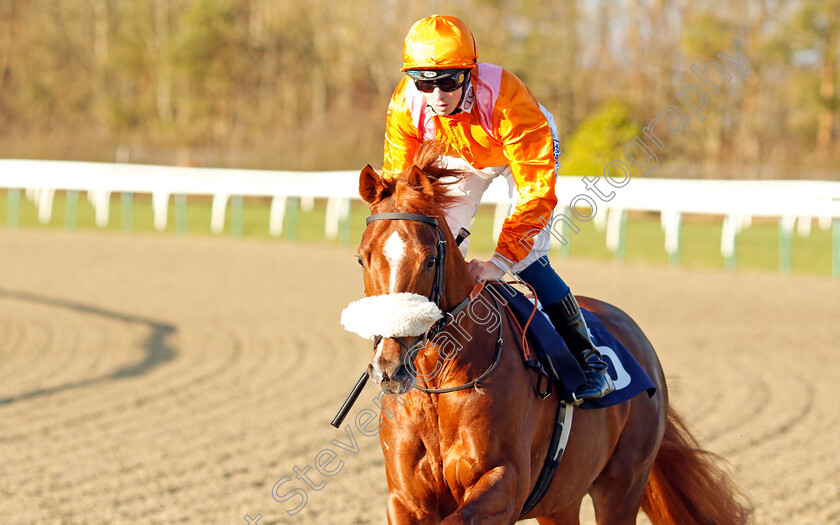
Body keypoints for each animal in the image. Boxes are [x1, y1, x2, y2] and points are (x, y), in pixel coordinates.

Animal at [348, 143, 756, 524]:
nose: (389, 367)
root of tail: (640, 343)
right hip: (561, 500)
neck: (438, 387)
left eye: (430, 259)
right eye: (362, 258)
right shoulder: (405, 500)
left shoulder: (505, 485)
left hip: (622, 486)